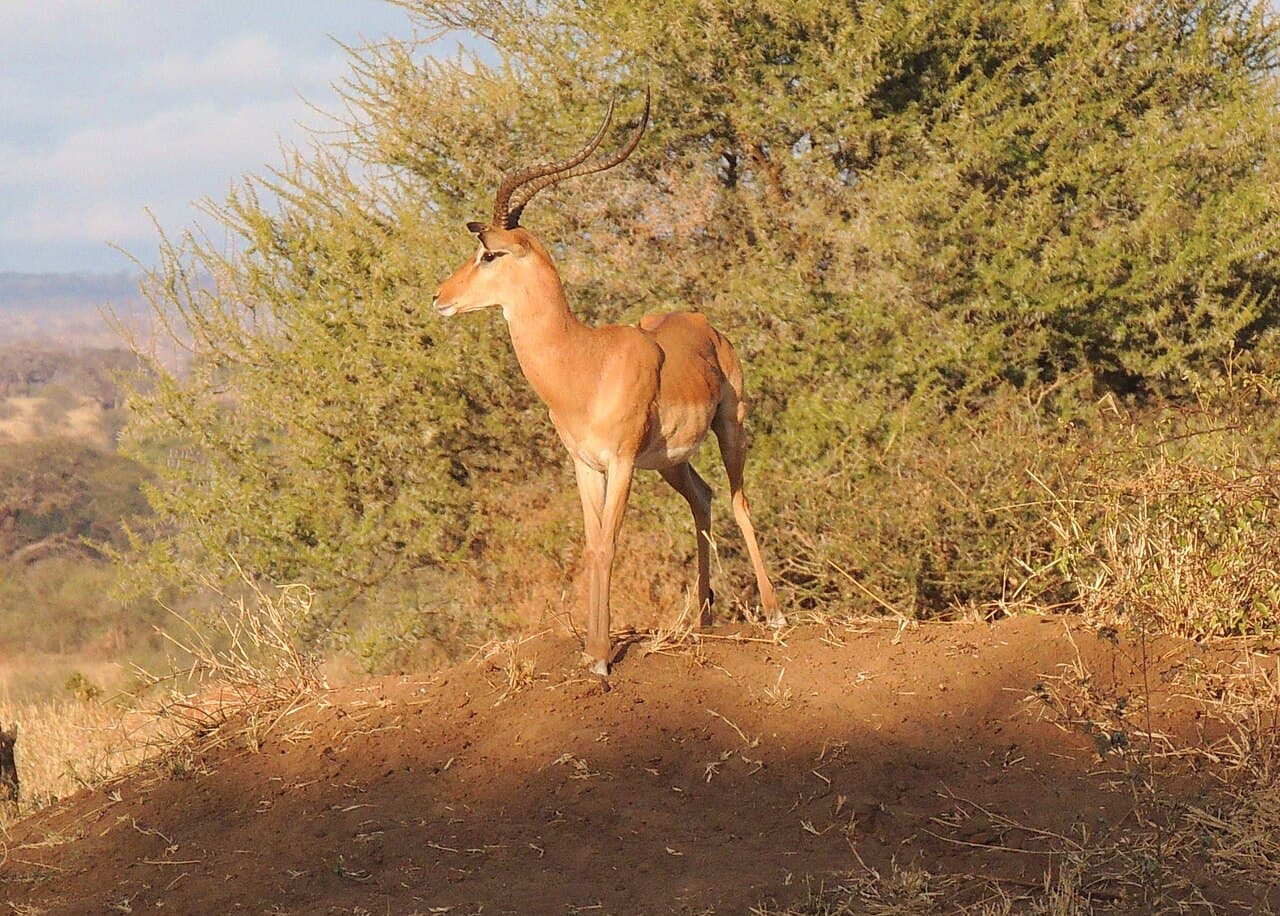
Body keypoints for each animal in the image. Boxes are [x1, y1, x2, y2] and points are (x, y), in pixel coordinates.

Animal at [433, 92, 783, 675]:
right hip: (670, 462)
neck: (584, 364)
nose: (440, 296)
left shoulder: (619, 463)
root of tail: (704, 325)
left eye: (490, 254)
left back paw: (776, 615)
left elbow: (608, 546)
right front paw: (593, 652)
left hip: (731, 428)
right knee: (704, 497)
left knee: (739, 501)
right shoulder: (585, 464)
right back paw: (702, 621)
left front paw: (600, 657)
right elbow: (592, 544)